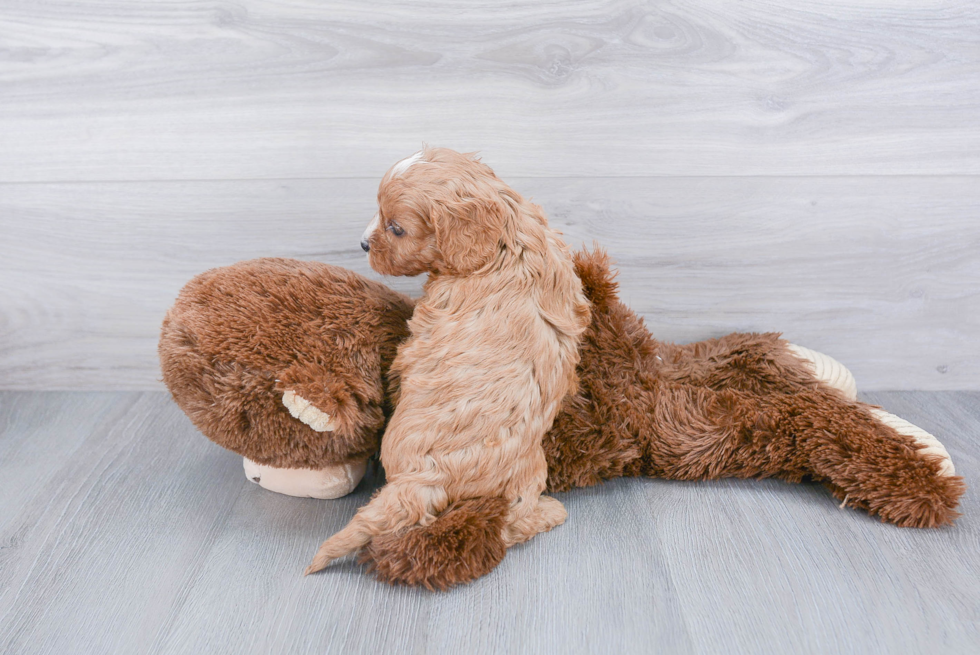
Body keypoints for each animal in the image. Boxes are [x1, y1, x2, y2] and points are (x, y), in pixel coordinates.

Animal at [304, 147, 588, 576]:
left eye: (396, 228)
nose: (363, 244)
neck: (507, 236)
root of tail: (425, 481)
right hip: (530, 467)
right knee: (513, 520)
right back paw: (548, 512)